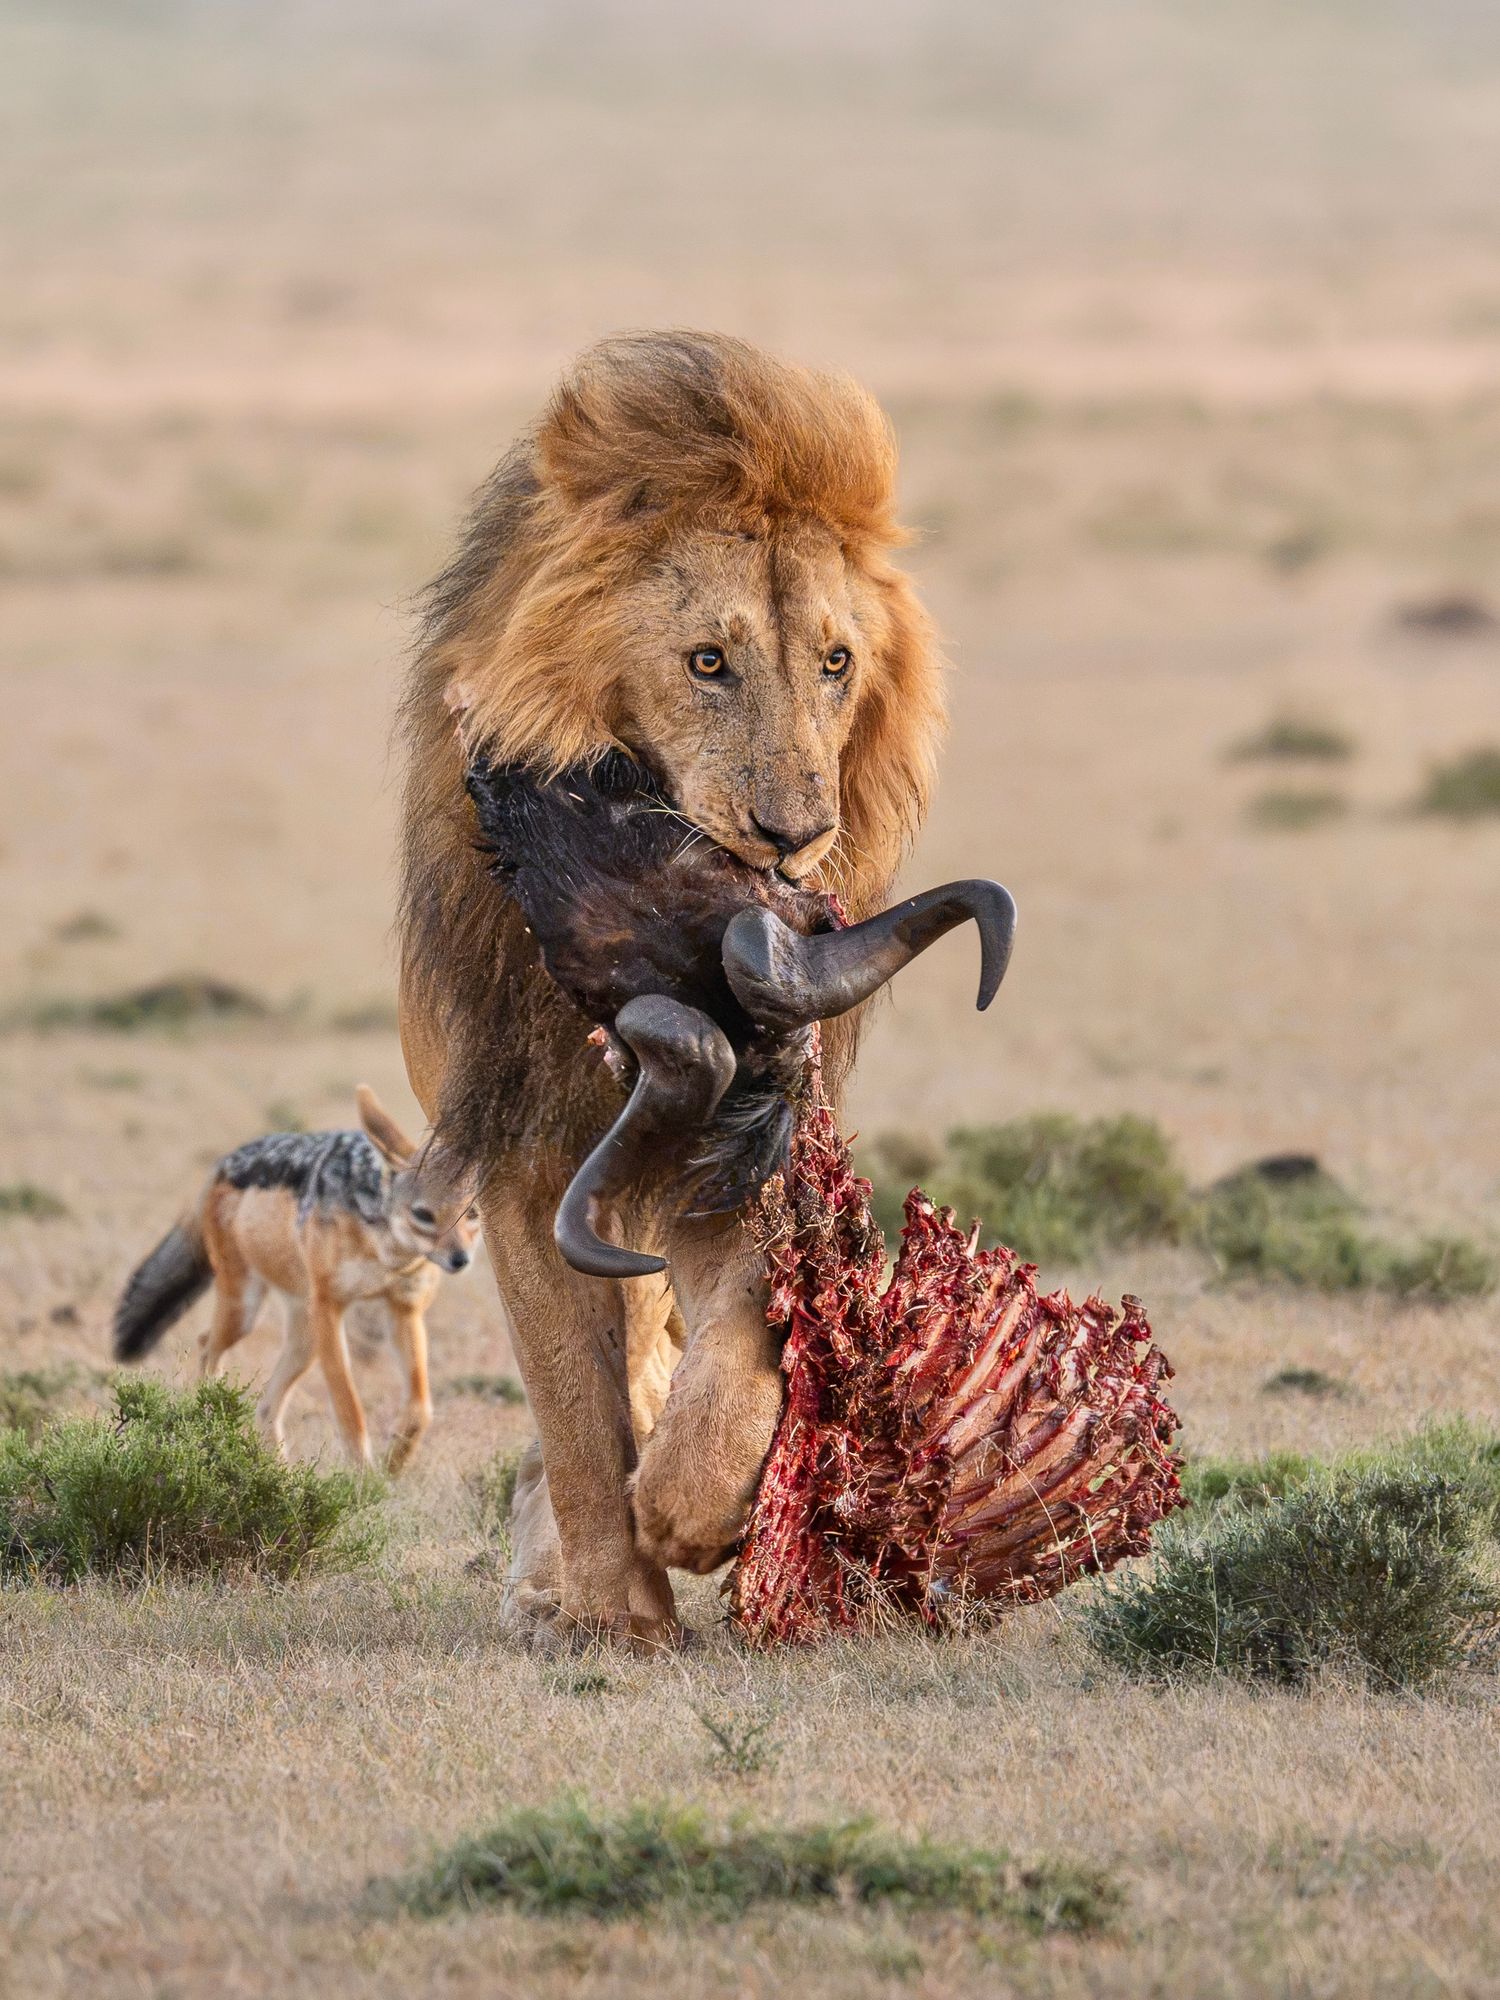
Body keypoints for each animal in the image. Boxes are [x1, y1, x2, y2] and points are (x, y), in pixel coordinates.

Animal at [397, 330, 945, 1647]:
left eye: (838, 663)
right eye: (708, 661)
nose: (795, 837)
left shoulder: (745, 1131)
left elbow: (737, 1335)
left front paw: (700, 1508)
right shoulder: (523, 1158)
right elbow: (575, 1411)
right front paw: (616, 1607)